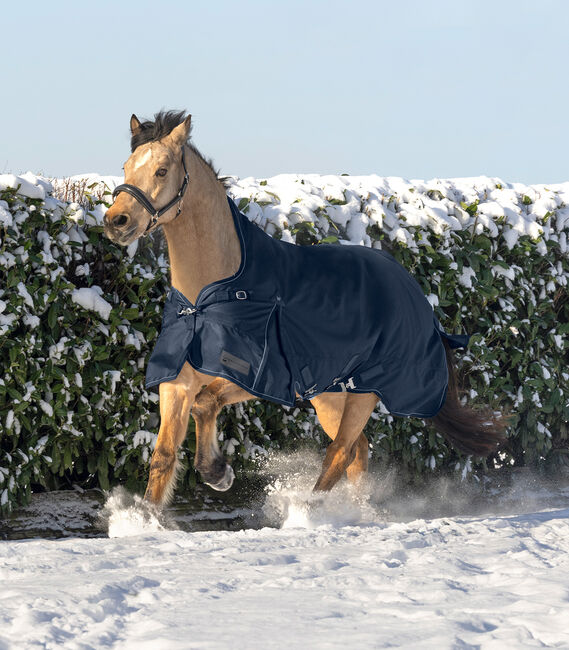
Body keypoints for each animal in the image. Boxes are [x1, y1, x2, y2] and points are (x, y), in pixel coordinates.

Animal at [103, 110, 506, 506]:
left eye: (161, 170)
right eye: (126, 167)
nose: (116, 221)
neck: (205, 299)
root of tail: (414, 291)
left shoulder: (256, 378)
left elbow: (206, 402)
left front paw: (218, 473)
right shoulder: (177, 382)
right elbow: (163, 456)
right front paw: (144, 518)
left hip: (365, 391)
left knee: (341, 452)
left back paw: (310, 511)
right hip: (330, 394)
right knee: (357, 452)